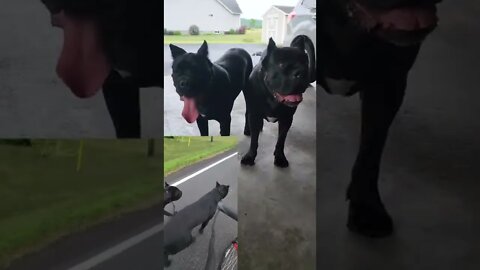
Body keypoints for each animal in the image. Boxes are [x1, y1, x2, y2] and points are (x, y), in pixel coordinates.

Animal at [240, 37, 312, 168]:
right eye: (281, 65)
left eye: (305, 63)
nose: (301, 72)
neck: (272, 97)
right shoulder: (255, 115)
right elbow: (254, 140)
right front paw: (250, 156)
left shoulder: (286, 119)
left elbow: (281, 140)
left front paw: (280, 157)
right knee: (247, 114)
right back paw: (248, 129)